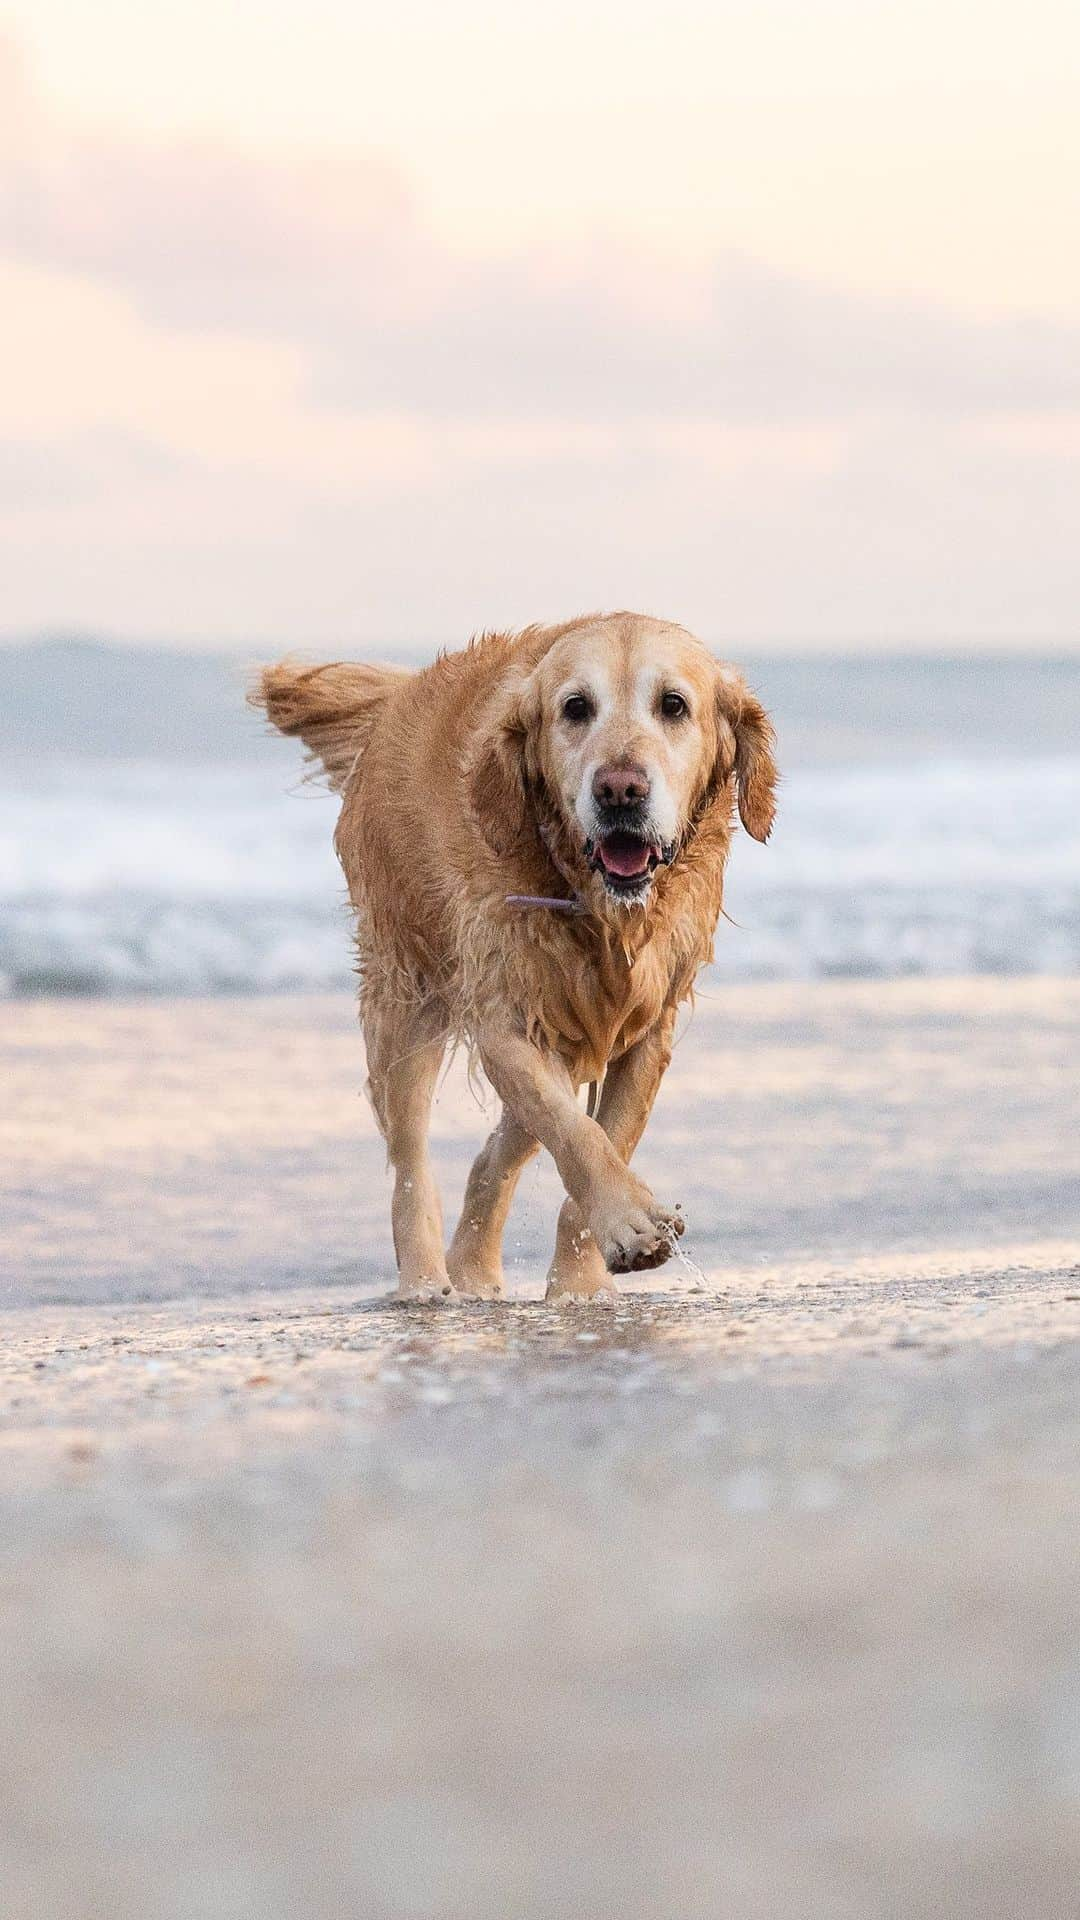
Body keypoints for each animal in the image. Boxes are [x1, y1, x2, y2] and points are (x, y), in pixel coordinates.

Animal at [251, 614, 772, 1305]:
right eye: (575, 707)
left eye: (674, 705)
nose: (620, 789)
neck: (597, 906)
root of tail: (396, 700)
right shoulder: (503, 1013)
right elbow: (575, 1132)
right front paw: (628, 1222)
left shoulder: (643, 1030)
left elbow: (607, 1133)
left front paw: (580, 1287)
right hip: (405, 998)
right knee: (411, 1163)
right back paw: (425, 1283)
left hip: (566, 1033)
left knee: (497, 1153)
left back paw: (474, 1269)